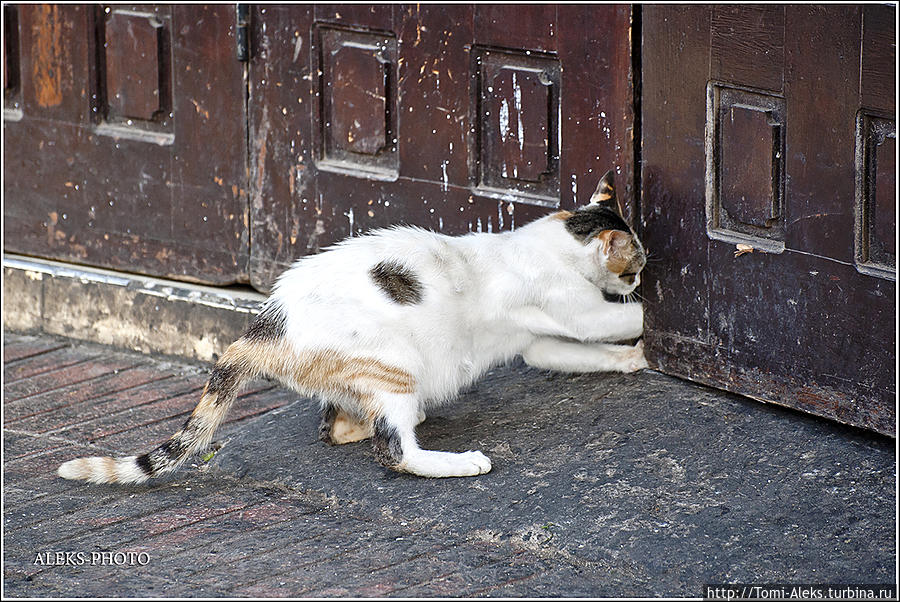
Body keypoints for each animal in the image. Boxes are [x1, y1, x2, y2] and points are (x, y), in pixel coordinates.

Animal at [58, 171, 648, 480]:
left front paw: (632, 358)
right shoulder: (579, 309)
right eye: (635, 263)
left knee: (338, 428)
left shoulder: (540, 343)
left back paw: (391, 419)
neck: (555, 239)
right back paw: (459, 461)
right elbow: (622, 317)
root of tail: (267, 320)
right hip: (394, 365)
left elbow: (577, 353)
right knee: (396, 453)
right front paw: (649, 329)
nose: (640, 275)